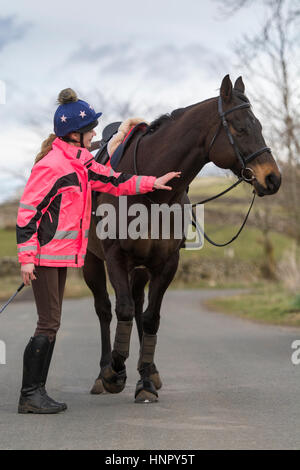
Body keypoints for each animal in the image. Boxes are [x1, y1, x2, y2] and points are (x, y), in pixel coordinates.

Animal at [82, 75, 282, 402]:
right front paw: (115, 372)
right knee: (105, 309)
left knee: (138, 305)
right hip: (92, 261)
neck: (152, 191)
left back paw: (148, 371)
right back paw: (103, 372)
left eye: (260, 126)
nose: (273, 178)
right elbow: (121, 309)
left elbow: (150, 317)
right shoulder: (115, 257)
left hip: (140, 267)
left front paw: (145, 380)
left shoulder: (166, 263)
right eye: (240, 128)